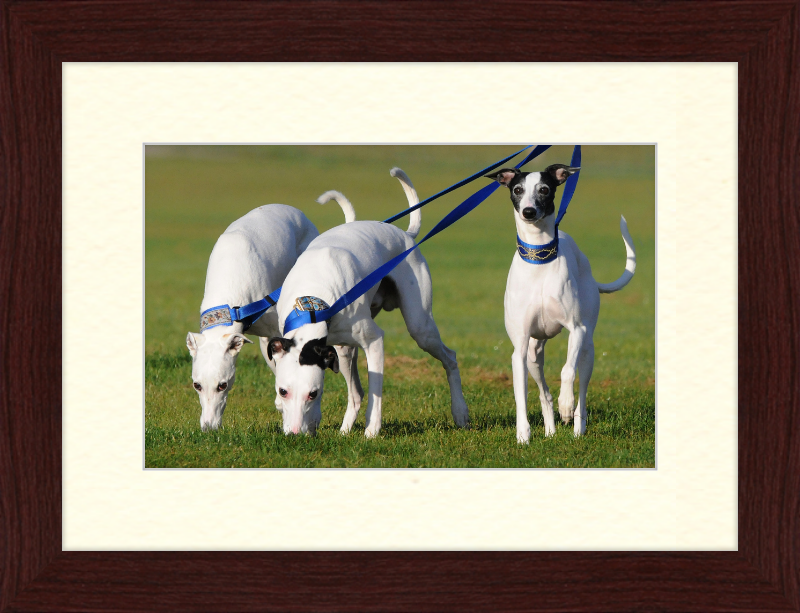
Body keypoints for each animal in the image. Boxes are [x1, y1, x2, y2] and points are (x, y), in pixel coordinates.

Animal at [266, 167, 472, 436]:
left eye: (314, 393)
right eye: (283, 391)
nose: (294, 434)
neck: (312, 304)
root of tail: (405, 234)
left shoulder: (374, 341)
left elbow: (376, 390)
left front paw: (372, 430)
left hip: (421, 328)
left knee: (449, 358)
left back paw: (460, 412)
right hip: (344, 352)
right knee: (356, 393)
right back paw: (344, 431)